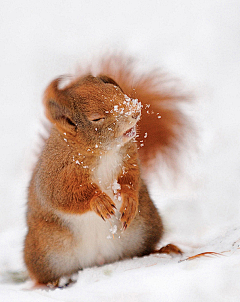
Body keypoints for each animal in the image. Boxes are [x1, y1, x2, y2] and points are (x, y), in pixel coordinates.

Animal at [23, 54, 188, 288]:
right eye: (96, 118)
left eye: (117, 91)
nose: (135, 111)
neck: (103, 152)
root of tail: (98, 261)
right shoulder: (56, 173)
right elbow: (63, 195)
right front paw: (98, 201)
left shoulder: (129, 157)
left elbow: (132, 178)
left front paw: (129, 199)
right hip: (45, 252)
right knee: (42, 275)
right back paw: (47, 285)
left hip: (145, 227)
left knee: (141, 251)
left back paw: (163, 250)